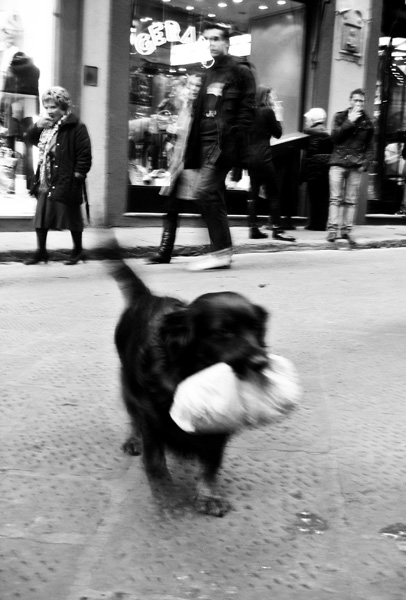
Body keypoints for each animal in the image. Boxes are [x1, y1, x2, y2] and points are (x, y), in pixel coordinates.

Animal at [105, 242, 269, 516]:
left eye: (256, 330)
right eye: (223, 332)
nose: (262, 363)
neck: (195, 377)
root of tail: (148, 297)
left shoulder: (219, 427)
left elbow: (211, 463)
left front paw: (209, 495)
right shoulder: (152, 420)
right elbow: (155, 461)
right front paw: (166, 496)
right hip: (128, 384)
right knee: (132, 415)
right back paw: (133, 439)